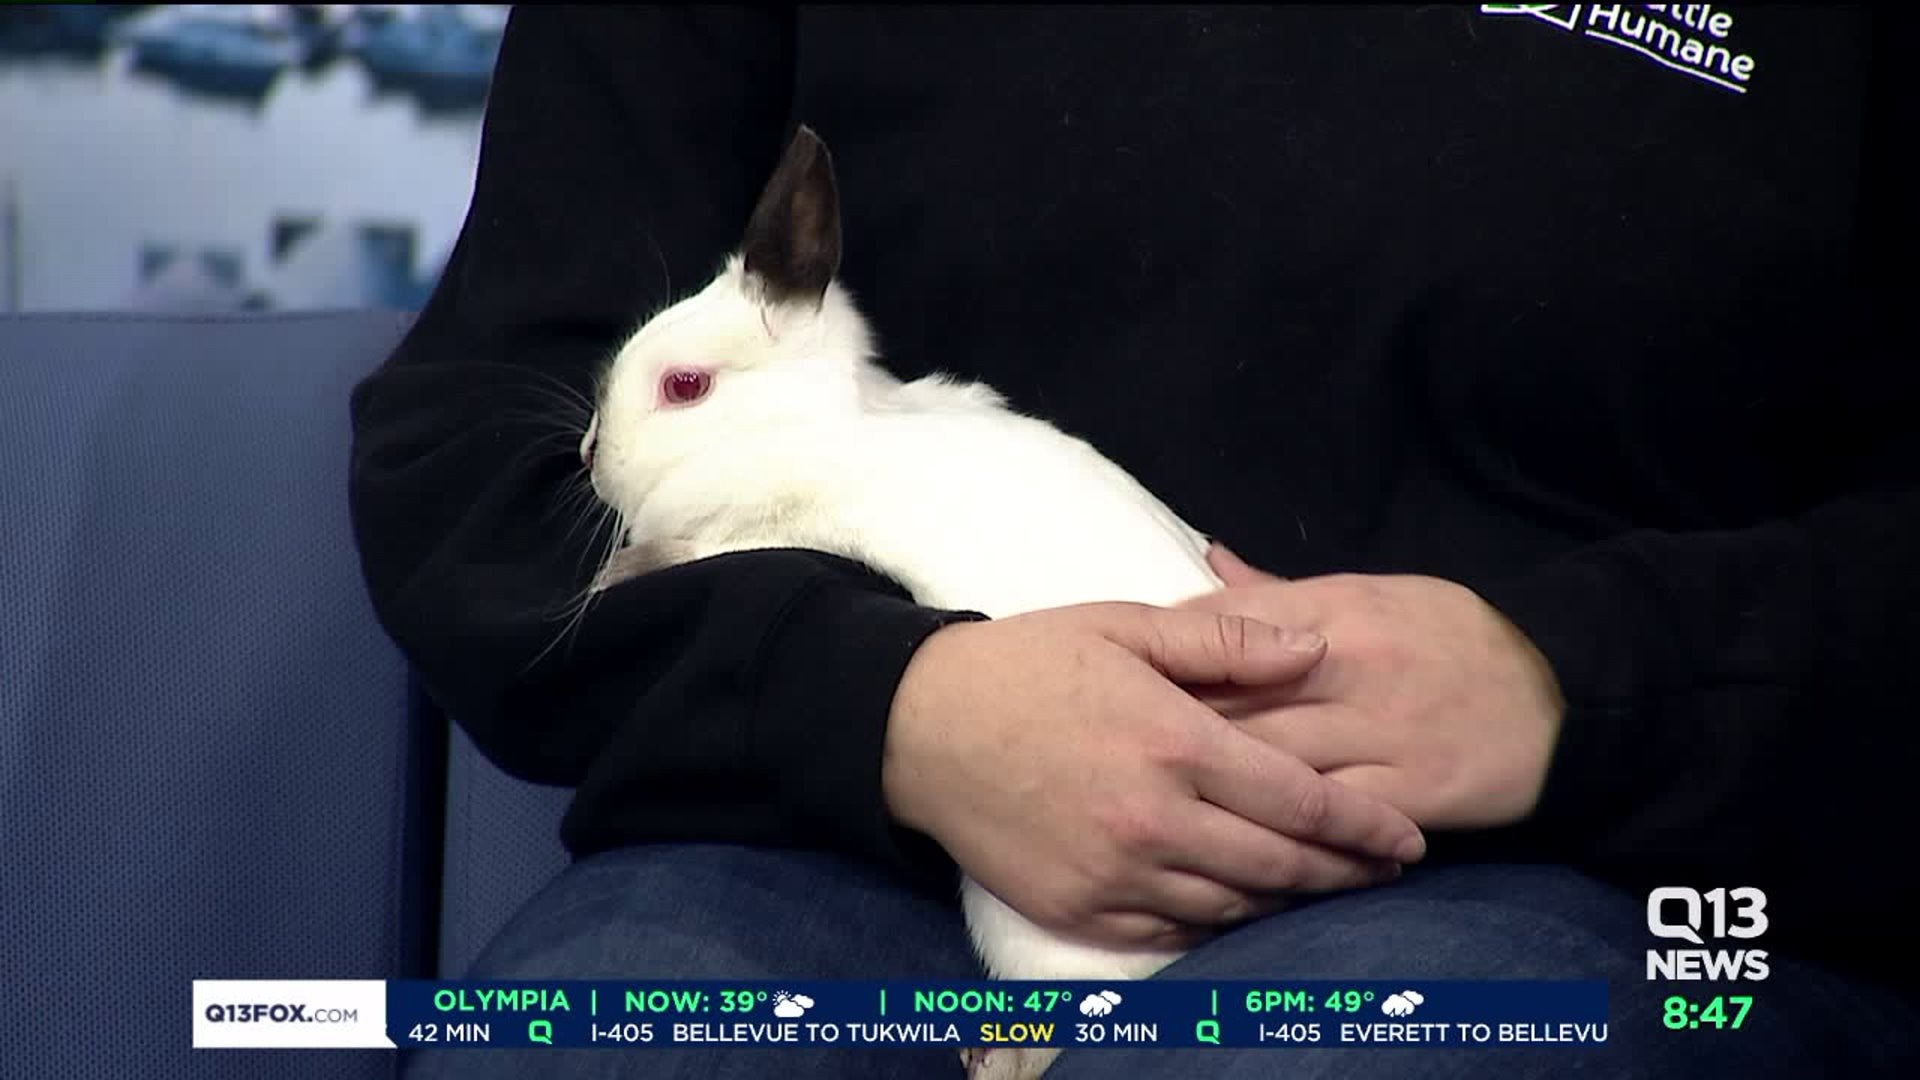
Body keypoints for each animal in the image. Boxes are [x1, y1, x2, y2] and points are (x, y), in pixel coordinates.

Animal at [579, 125, 1232, 1080]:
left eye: (685, 386)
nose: (590, 455)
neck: (801, 424)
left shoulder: (763, 525)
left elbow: (702, 552)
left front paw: (614, 577)